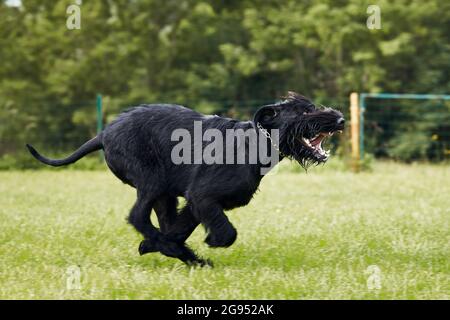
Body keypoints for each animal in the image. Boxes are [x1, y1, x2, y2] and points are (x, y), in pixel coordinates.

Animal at [27, 92, 344, 264]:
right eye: (304, 111)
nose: (340, 119)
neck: (254, 142)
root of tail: (103, 134)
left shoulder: (195, 203)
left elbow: (180, 227)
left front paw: (158, 247)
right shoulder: (202, 196)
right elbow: (227, 233)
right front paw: (199, 245)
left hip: (163, 193)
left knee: (159, 221)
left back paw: (177, 253)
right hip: (151, 182)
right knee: (137, 216)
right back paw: (181, 253)